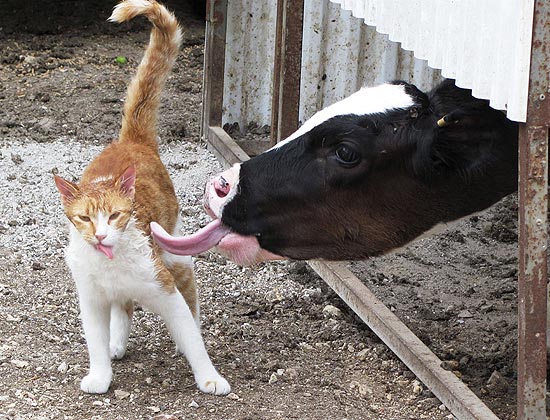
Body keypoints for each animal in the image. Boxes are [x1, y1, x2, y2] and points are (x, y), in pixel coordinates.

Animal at [54, 0, 231, 396]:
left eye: (115, 216)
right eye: (84, 218)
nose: (100, 235)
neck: (112, 264)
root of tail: (132, 141)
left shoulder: (165, 289)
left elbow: (193, 340)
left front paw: (209, 376)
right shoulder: (91, 300)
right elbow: (95, 341)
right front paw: (101, 374)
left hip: (174, 254)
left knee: (189, 293)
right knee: (124, 308)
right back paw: (117, 342)